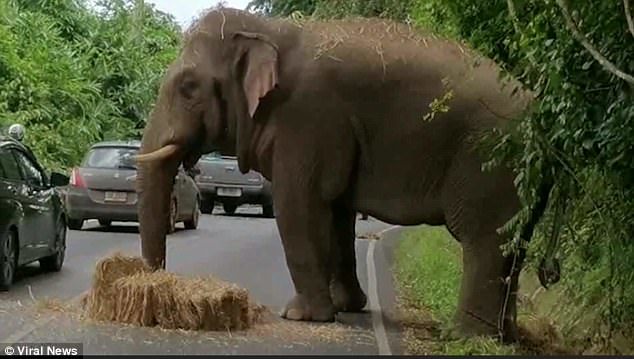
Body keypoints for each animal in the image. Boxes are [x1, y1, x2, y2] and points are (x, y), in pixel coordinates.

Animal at [133, 7, 548, 344]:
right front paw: (347, 306)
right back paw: (507, 335)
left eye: (188, 87)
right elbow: (336, 213)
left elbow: (300, 205)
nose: (158, 284)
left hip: (489, 161)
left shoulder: (307, 118)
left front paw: (301, 316)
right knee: (515, 246)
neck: (271, 30)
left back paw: (465, 336)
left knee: (484, 239)